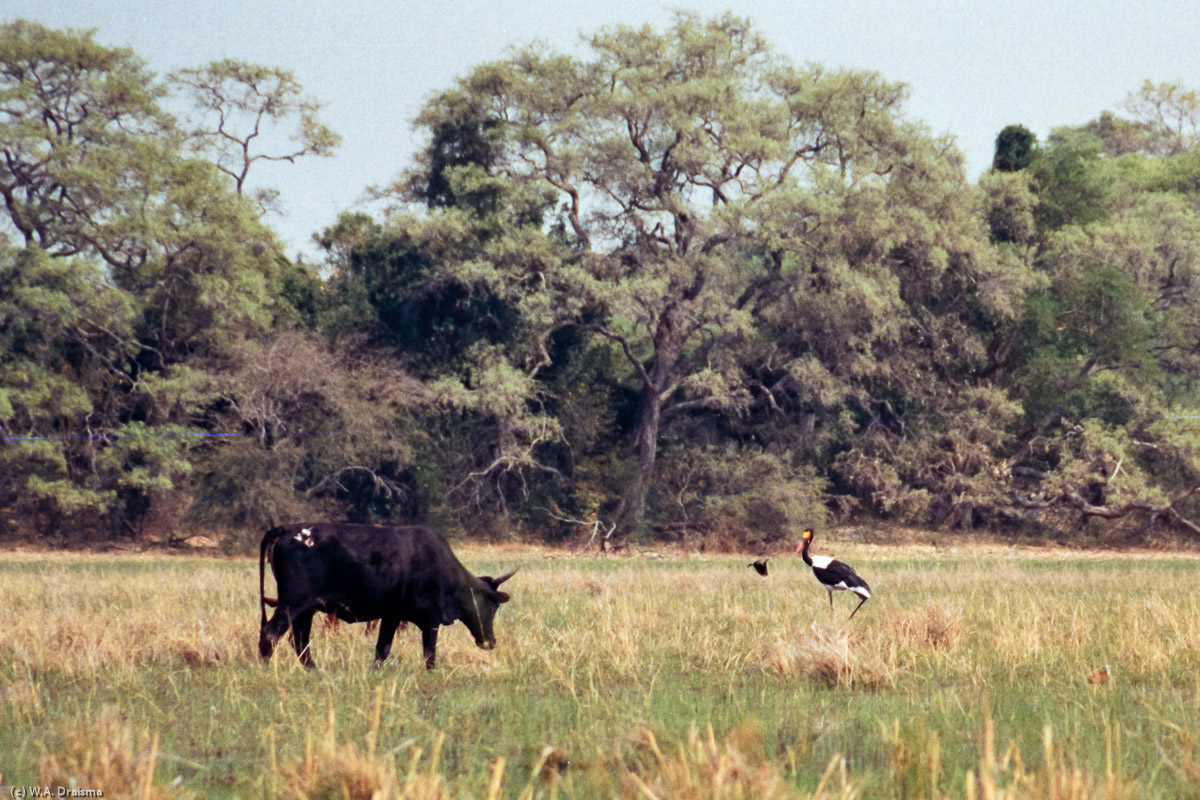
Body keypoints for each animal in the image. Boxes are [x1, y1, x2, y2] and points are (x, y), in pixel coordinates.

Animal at [258, 525, 511, 671]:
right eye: (493, 605)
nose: (490, 641)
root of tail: (286, 530)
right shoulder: (428, 619)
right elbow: (428, 653)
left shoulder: (393, 615)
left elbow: (382, 648)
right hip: (292, 605)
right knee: (271, 634)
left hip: (306, 610)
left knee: (299, 642)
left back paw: (314, 670)